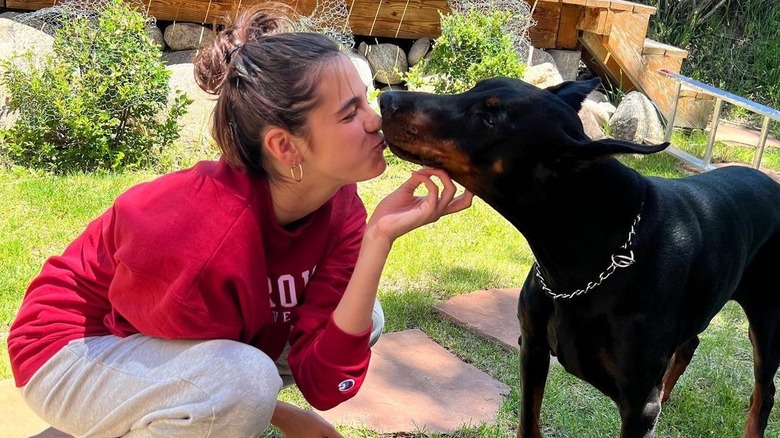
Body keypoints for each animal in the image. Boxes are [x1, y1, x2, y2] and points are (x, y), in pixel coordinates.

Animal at [380, 76, 780, 438]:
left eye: (490, 118)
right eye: (475, 87)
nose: (386, 99)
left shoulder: (638, 405)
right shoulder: (532, 347)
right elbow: (529, 422)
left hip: (766, 322)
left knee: (764, 390)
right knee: (691, 343)